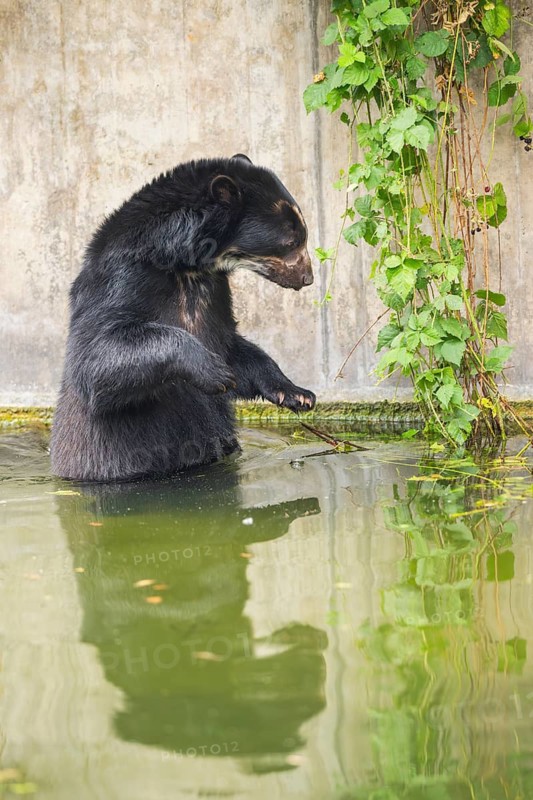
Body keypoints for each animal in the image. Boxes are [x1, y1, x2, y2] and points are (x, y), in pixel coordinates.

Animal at [50, 154, 316, 482]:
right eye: (291, 241)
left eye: (301, 235)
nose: (307, 278)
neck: (187, 265)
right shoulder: (121, 279)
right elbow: (96, 355)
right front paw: (215, 371)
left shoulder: (216, 291)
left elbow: (231, 344)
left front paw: (297, 394)